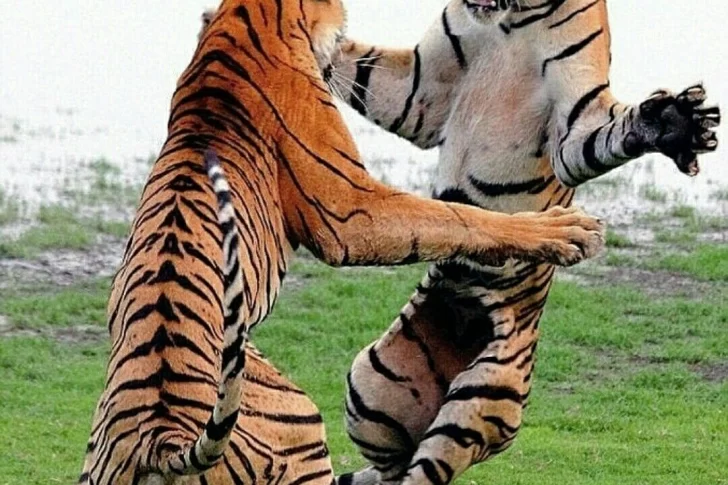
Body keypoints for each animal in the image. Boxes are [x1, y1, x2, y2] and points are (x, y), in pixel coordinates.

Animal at [79, 1, 606, 484]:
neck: (240, 22)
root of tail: (161, 437)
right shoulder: (351, 210)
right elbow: (458, 217)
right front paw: (566, 230)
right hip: (299, 423)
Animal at [325, 1, 722, 484]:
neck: (512, 20)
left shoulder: (574, 121)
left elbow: (603, 136)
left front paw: (672, 123)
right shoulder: (417, 90)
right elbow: (360, 66)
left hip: (475, 401)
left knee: (422, 470)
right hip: (371, 384)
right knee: (392, 467)